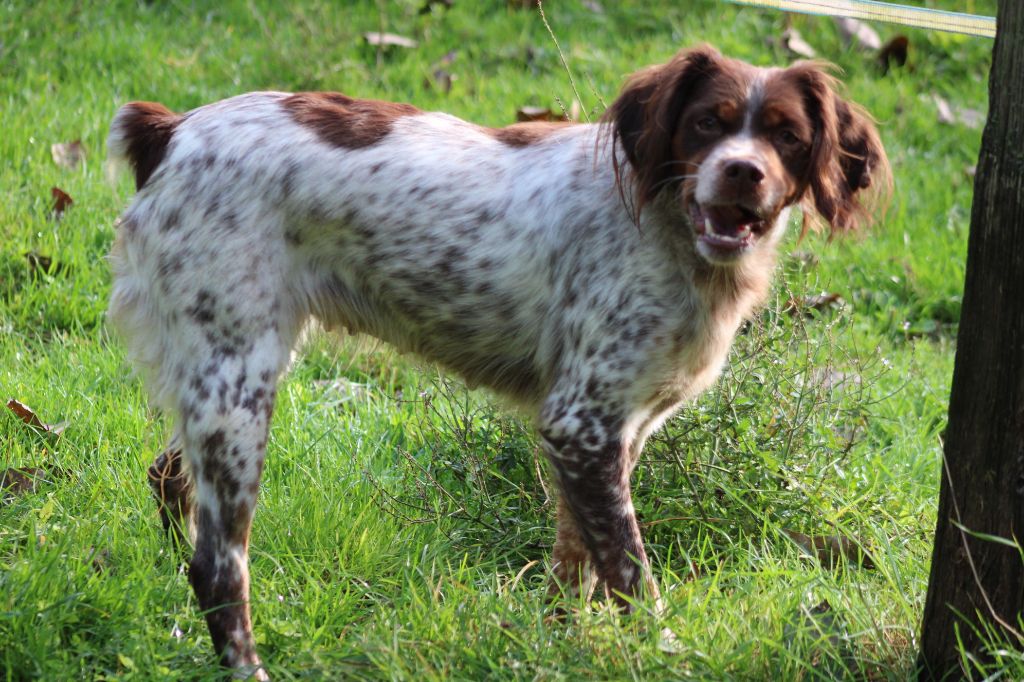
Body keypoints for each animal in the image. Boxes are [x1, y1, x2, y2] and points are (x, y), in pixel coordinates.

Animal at [107, 45, 889, 678]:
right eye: (706, 123)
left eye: (787, 135)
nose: (742, 173)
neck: (668, 229)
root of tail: (171, 131)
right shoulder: (581, 423)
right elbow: (632, 575)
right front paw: (664, 652)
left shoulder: (607, 435)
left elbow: (578, 566)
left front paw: (560, 648)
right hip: (239, 385)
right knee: (217, 564)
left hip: (218, 376)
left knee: (168, 482)